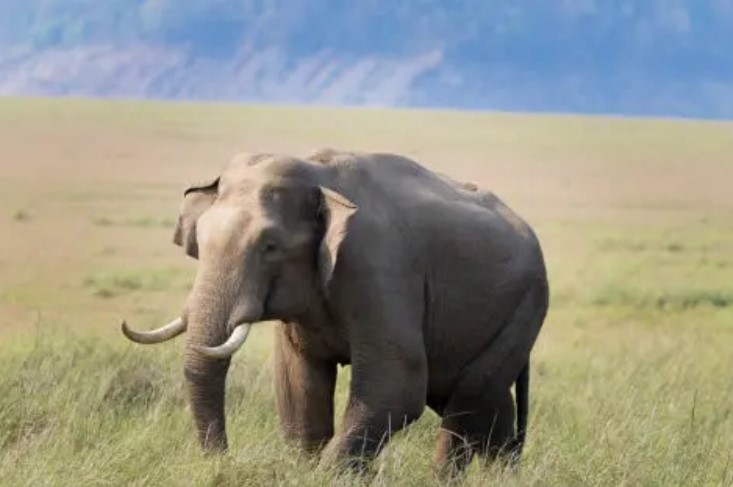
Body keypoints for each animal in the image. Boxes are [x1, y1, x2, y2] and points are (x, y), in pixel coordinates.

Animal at [121, 148, 549, 476]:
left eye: (270, 246)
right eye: (199, 241)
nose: (224, 462)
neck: (318, 174)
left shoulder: (379, 267)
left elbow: (397, 385)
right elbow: (299, 386)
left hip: (526, 306)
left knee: (467, 401)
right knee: (484, 403)